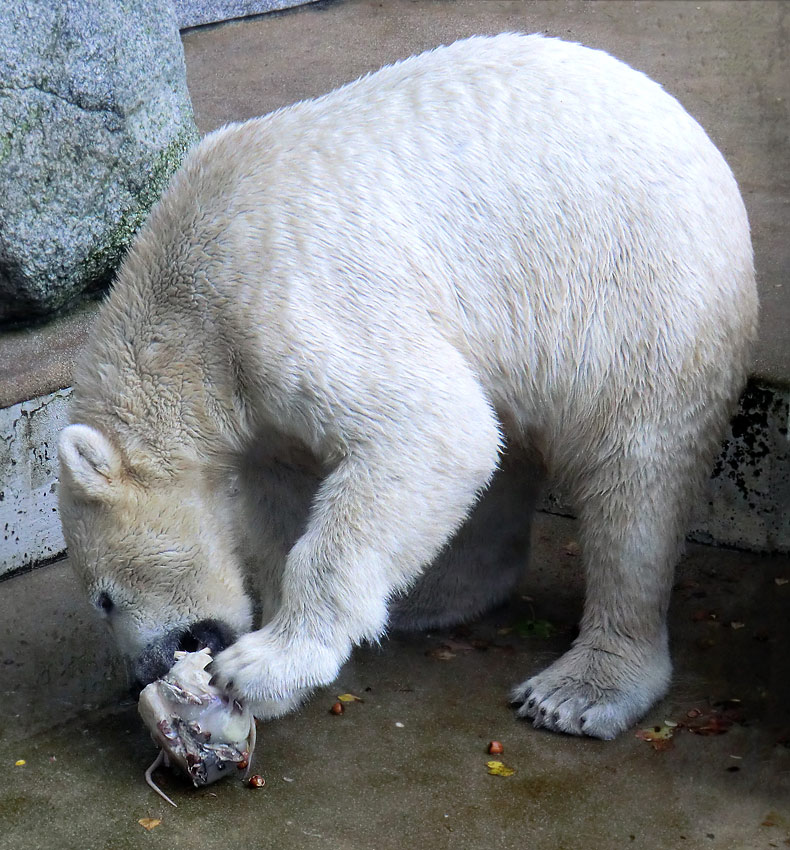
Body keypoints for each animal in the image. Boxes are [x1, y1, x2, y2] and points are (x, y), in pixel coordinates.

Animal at [58, 33, 756, 736]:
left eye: (103, 598)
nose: (143, 674)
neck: (183, 315)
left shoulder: (282, 303)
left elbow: (432, 429)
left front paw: (262, 666)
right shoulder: (258, 406)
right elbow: (292, 498)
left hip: (638, 294)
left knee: (635, 477)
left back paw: (580, 689)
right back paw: (432, 595)